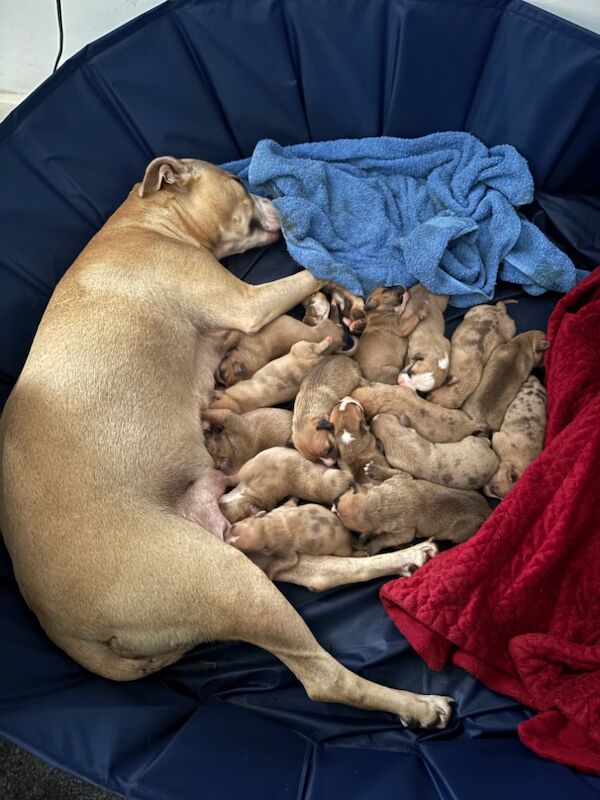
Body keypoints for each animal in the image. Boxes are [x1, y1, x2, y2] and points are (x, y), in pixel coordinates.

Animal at [338, 472, 492, 552]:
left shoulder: (402, 533)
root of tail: (487, 511)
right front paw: (375, 470)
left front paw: (371, 546)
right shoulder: (401, 476)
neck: (382, 503)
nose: (334, 504)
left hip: (460, 534)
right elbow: (392, 471)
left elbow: (383, 538)